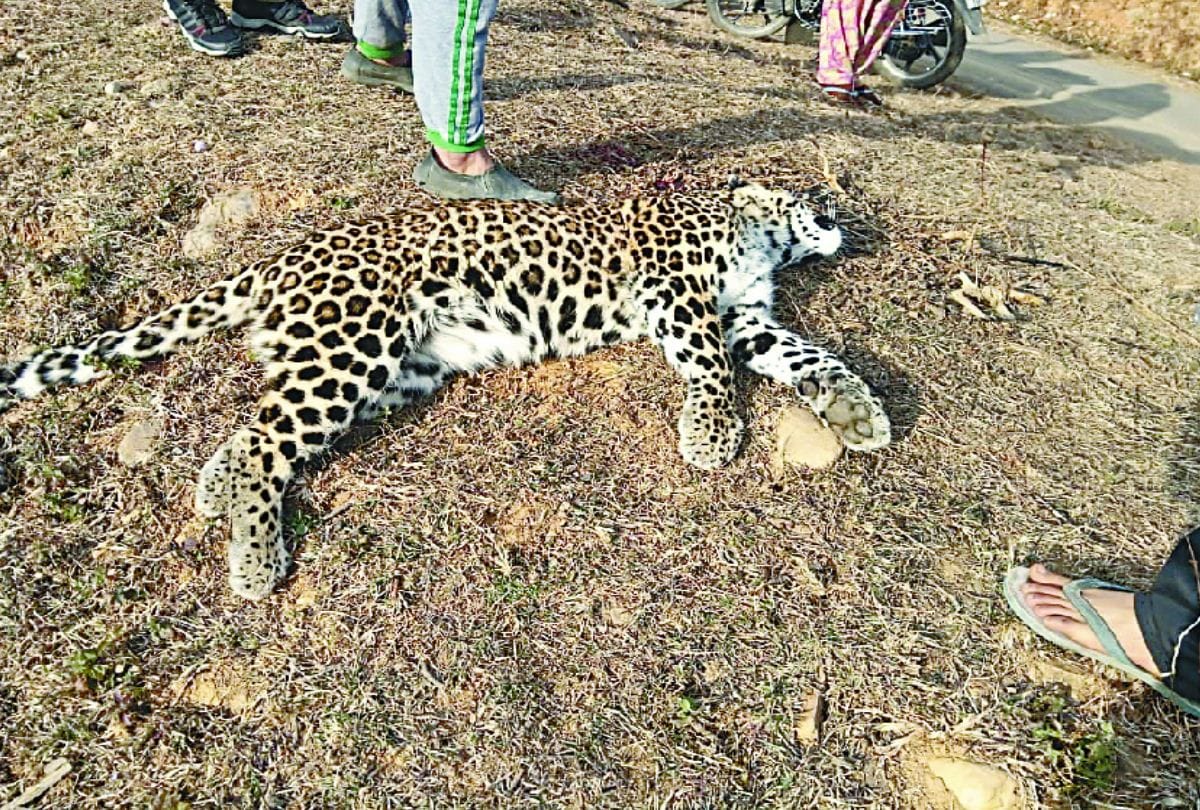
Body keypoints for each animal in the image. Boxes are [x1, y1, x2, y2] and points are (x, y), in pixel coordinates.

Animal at [0, 180, 891, 600]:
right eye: (815, 196)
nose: (844, 220)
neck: (761, 241)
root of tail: (280, 257)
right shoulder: (679, 292)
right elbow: (709, 365)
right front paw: (711, 433)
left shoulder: (747, 317)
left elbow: (808, 356)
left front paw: (857, 412)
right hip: (352, 349)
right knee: (265, 448)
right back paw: (254, 561)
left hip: (396, 370)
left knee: (253, 433)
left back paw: (214, 493)